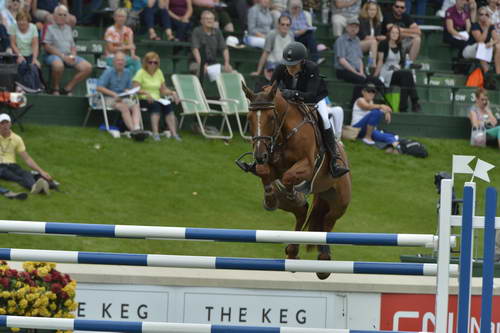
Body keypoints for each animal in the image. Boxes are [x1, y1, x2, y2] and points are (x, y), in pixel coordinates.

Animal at [239, 82, 352, 278]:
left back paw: (324, 259)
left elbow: (288, 176)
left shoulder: (307, 165)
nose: (259, 155)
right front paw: (271, 199)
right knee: (302, 213)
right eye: (249, 118)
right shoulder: (270, 164)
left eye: (271, 118)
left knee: (327, 222)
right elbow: (264, 172)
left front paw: (292, 193)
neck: (285, 132)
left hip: (340, 202)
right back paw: (292, 250)